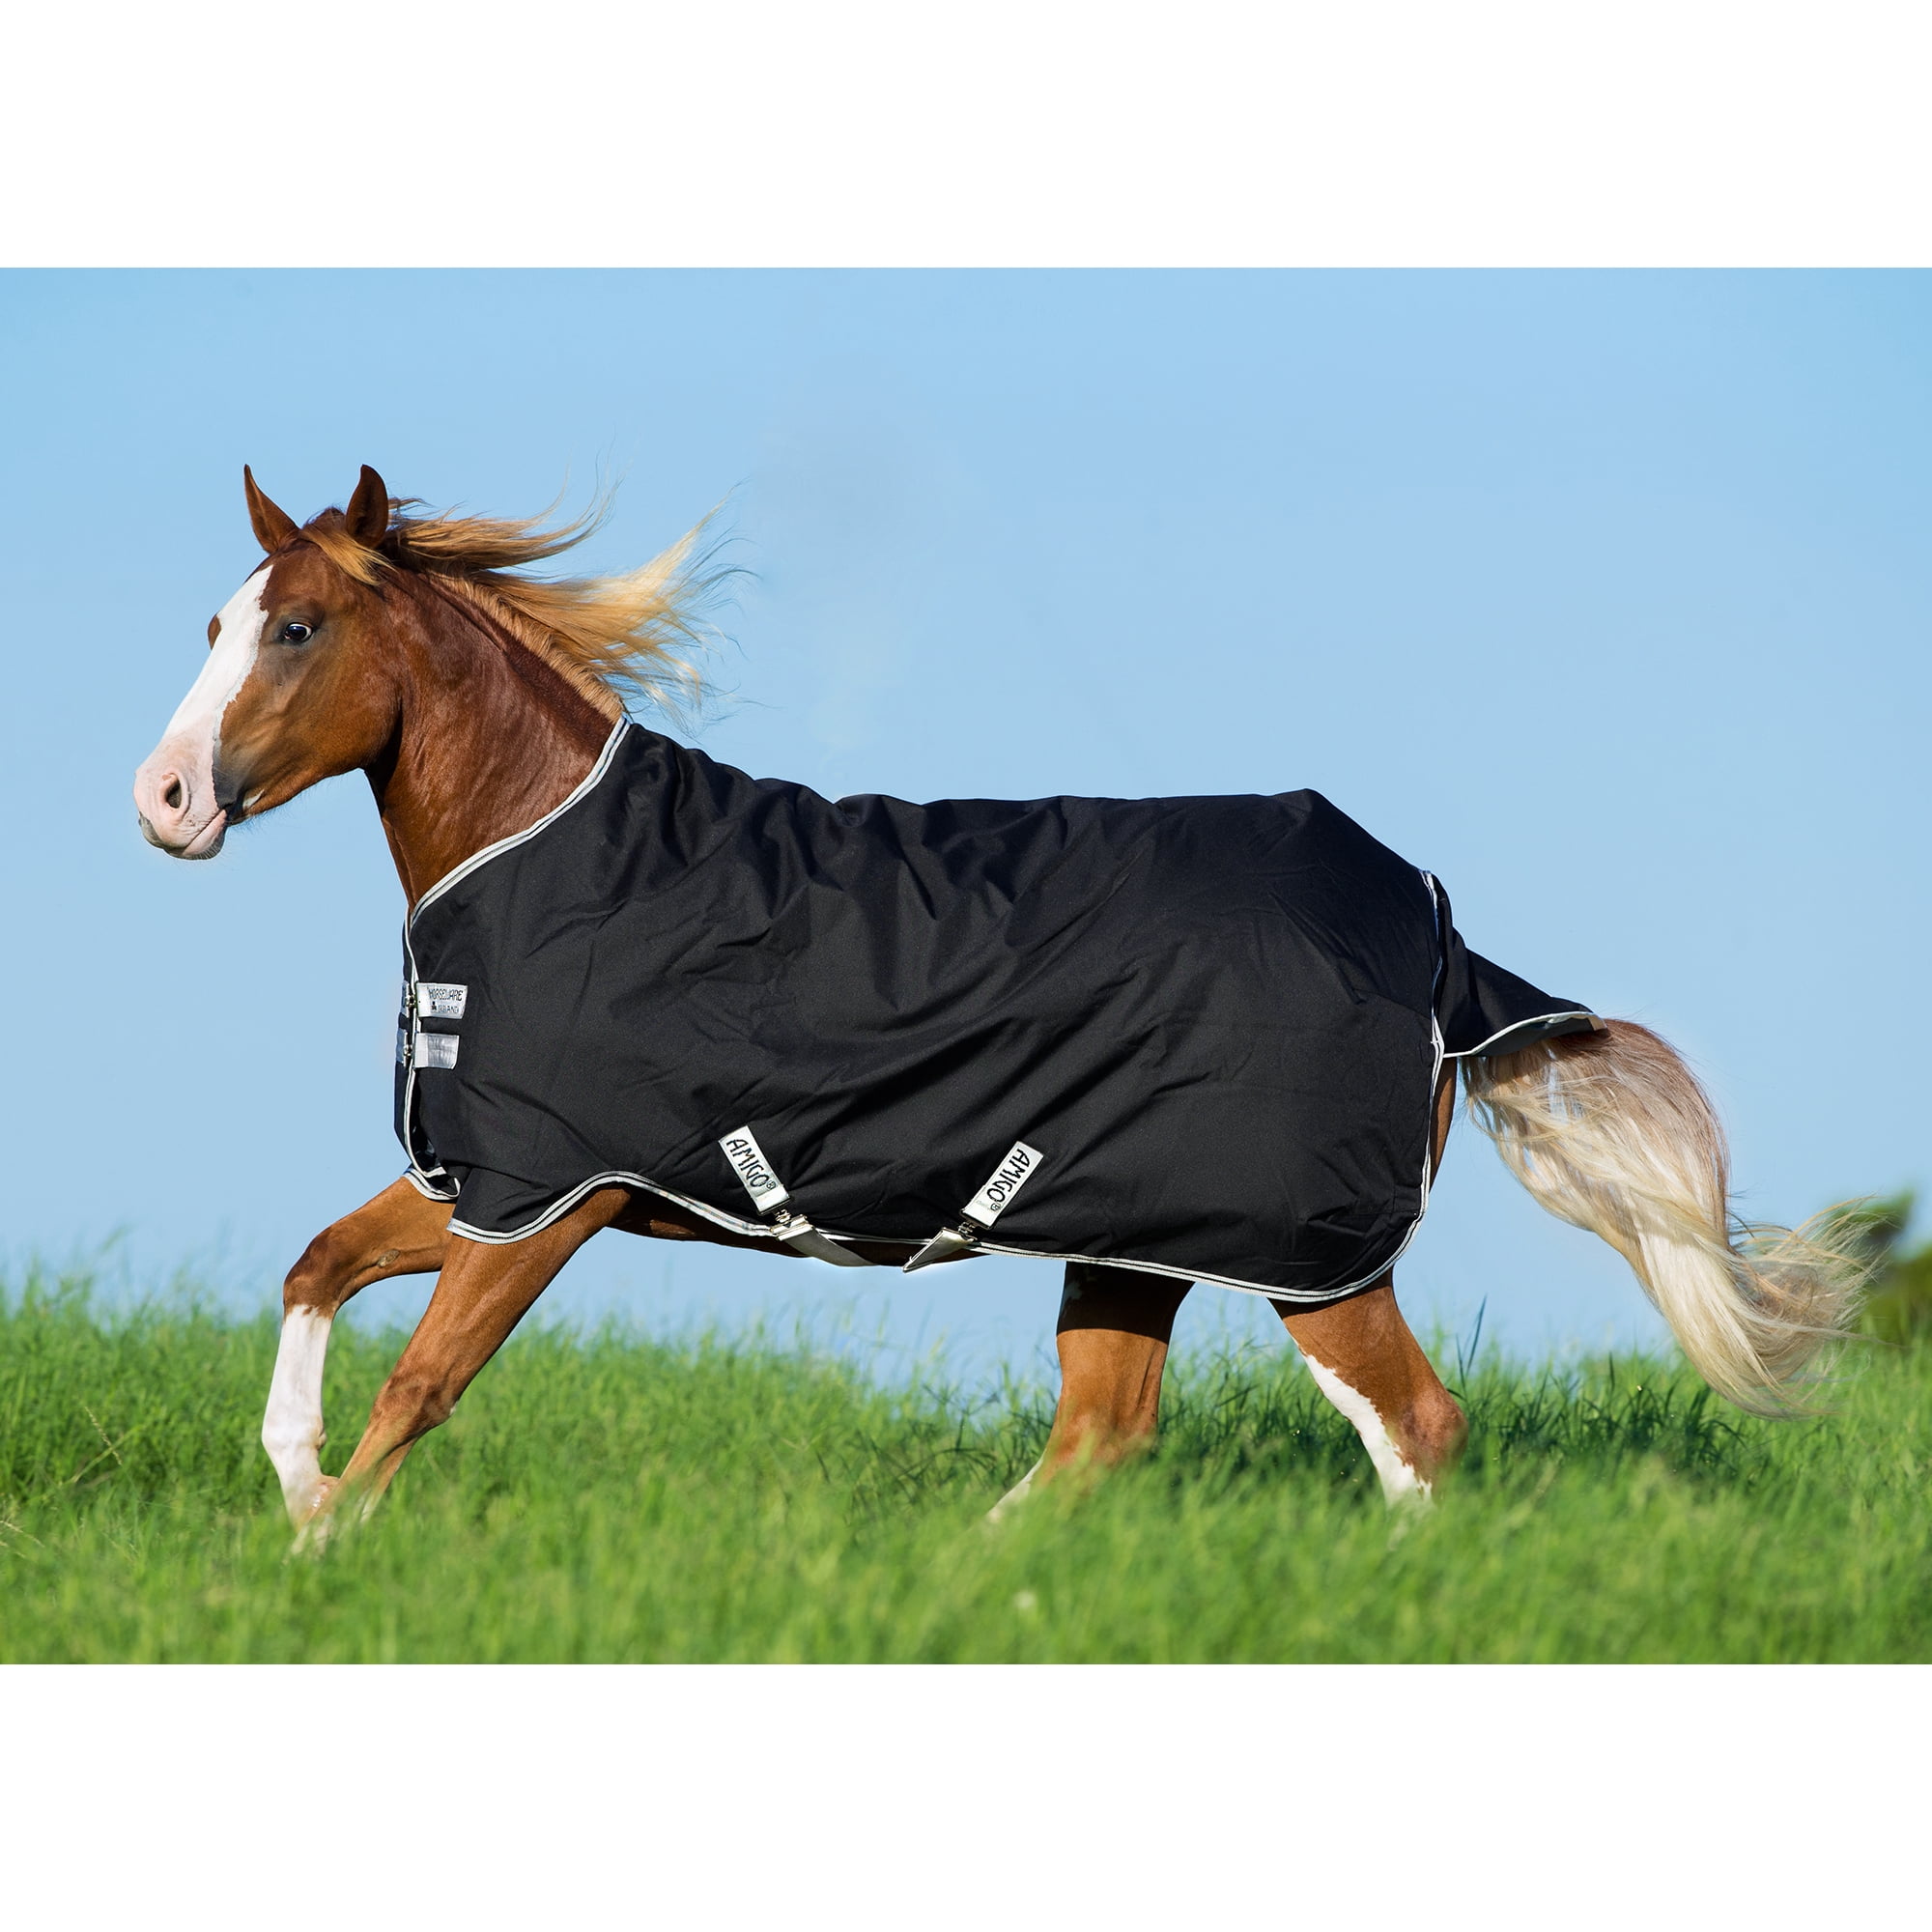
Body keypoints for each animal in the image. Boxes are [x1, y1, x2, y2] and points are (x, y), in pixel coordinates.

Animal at [133, 466, 1864, 1541]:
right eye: (213, 624)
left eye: (298, 628)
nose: (163, 801)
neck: (550, 854)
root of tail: (1435, 936)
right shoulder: (494, 1181)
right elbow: (317, 1267)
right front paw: (296, 1509)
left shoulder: (551, 1194)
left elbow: (420, 1385)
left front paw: (322, 1555)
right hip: (1135, 1242)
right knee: (1103, 1439)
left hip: (1304, 1253)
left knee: (1414, 1432)